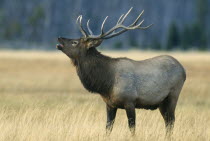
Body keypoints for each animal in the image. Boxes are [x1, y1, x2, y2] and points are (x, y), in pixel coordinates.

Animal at [55, 7, 185, 135]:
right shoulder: (110, 104)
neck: (106, 83)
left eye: (75, 42)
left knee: (171, 121)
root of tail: (183, 70)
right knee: (167, 122)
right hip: (161, 103)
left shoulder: (130, 101)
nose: (59, 37)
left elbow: (132, 128)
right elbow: (108, 128)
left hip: (173, 95)